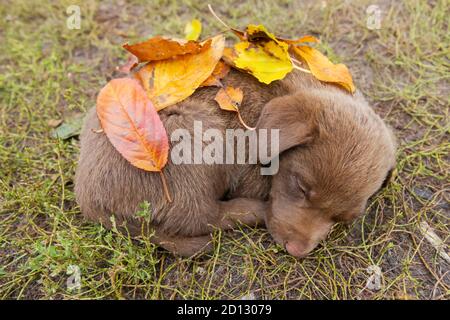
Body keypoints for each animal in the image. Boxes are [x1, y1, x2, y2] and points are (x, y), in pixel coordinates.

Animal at [75, 69, 396, 258]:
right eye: (301, 187)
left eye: (344, 218)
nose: (296, 251)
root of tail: (89, 201)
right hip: (196, 136)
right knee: (199, 217)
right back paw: (253, 210)